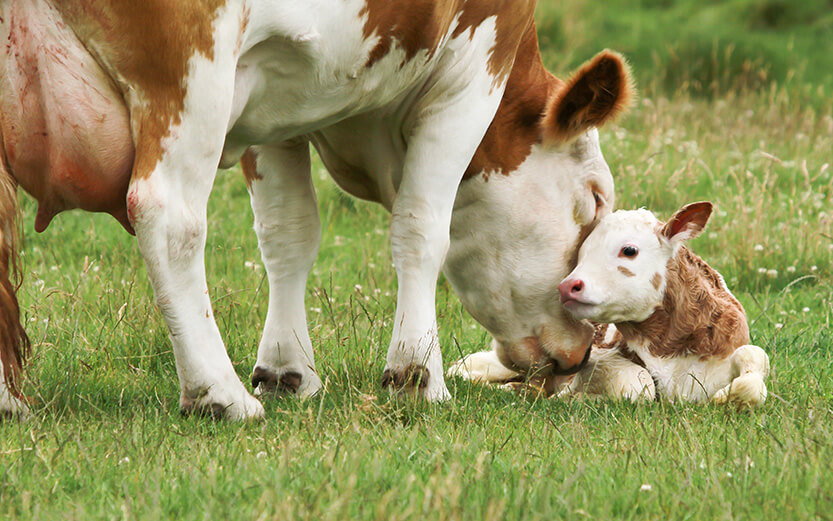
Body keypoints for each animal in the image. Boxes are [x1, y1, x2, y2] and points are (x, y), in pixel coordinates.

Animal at [0, 0, 632, 419]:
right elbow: (423, 228)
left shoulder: (275, 106)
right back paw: (218, 394)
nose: (585, 349)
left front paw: (287, 370)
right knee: (170, 218)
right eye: (596, 198)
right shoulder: (474, 67)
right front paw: (417, 374)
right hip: (192, 71)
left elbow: (289, 233)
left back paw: (9, 401)